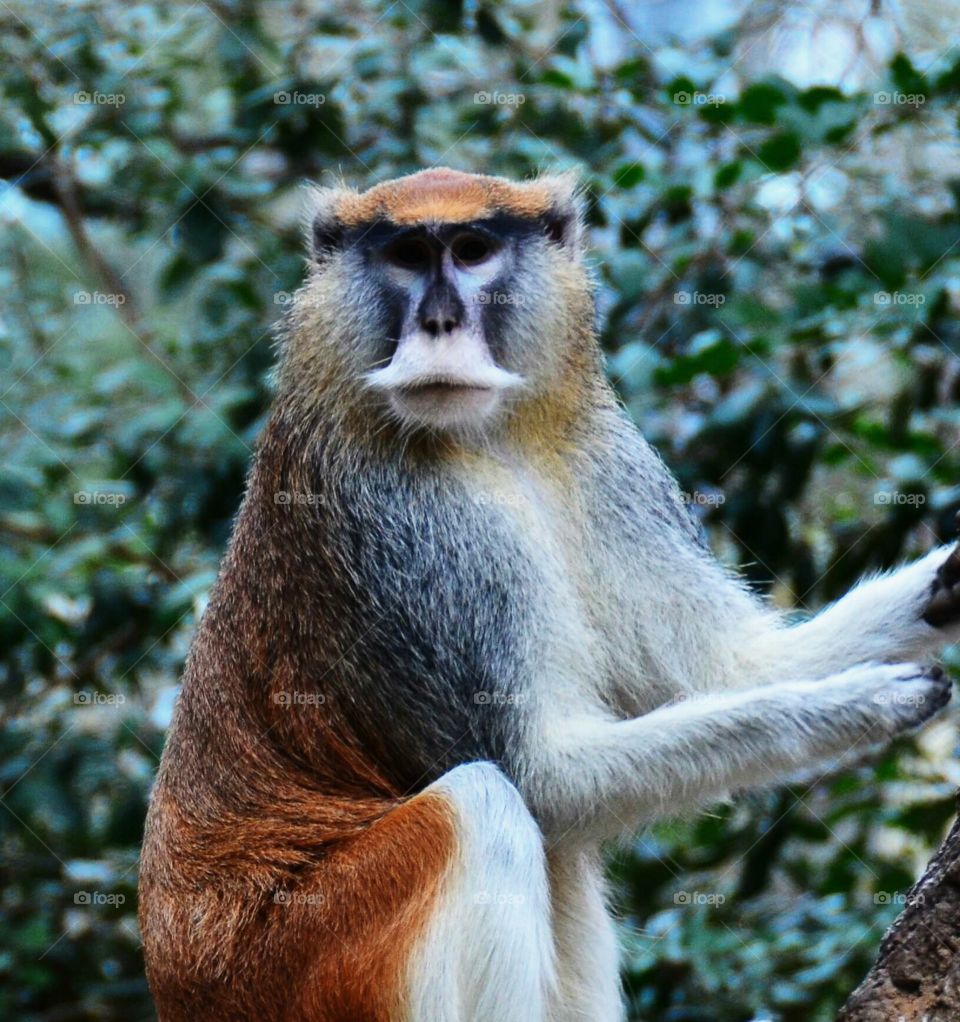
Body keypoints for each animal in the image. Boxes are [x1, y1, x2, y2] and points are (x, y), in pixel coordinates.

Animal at [138, 167, 960, 1022]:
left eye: (472, 250)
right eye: (406, 256)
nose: (439, 319)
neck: (488, 436)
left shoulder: (607, 464)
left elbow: (734, 669)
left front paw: (945, 584)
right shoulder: (404, 525)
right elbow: (544, 778)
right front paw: (861, 702)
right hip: (309, 964)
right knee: (484, 809)